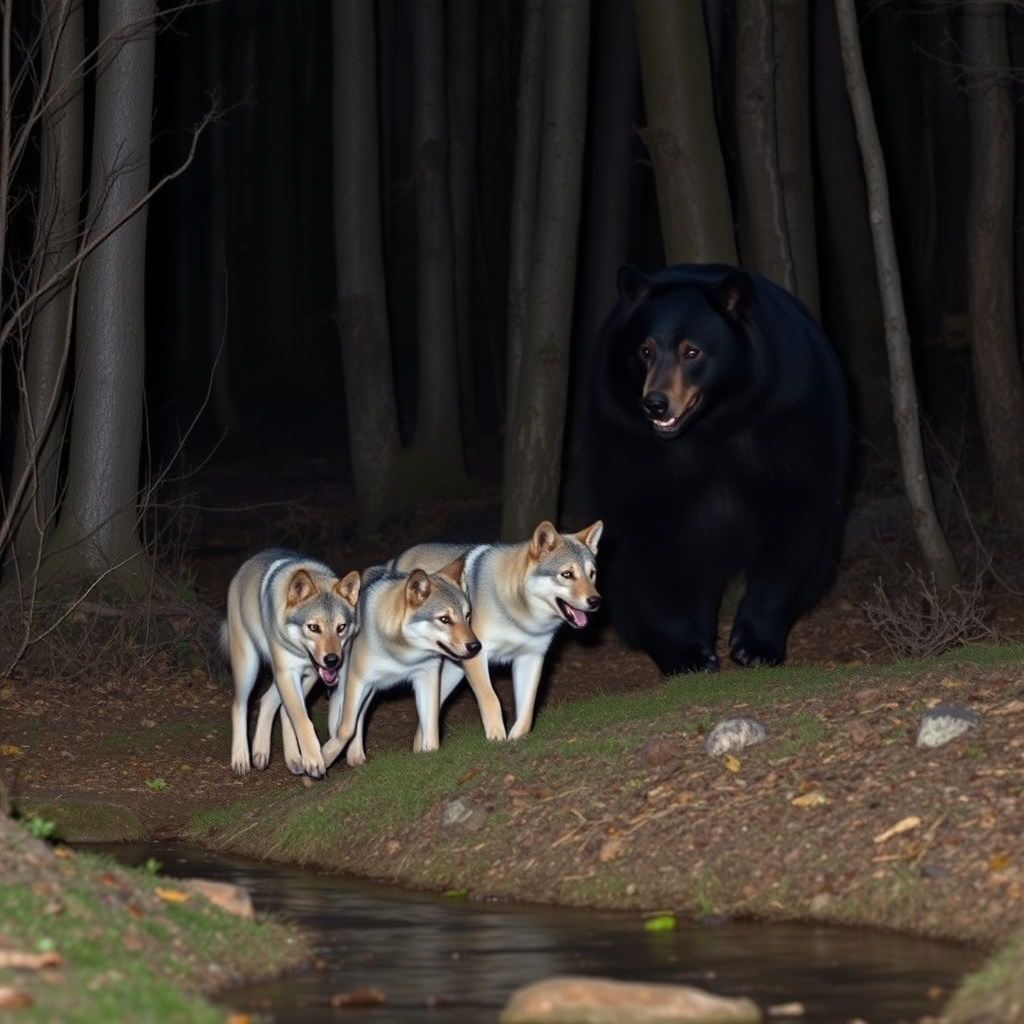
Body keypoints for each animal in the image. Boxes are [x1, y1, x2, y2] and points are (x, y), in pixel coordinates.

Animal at [223, 552, 360, 774]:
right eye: (313, 627)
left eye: (341, 627)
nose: (332, 660)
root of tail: (248, 563)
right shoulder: (287, 673)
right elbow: (301, 719)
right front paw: (313, 759)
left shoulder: (310, 673)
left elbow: (292, 714)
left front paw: (301, 756)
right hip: (249, 667)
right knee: (239, 705)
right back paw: (241, 757)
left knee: (267, 700)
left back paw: (264, 751)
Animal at [319, 561, 479, 770]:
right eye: (445, 619)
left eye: (467, 616)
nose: (476, 646)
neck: (403, 655)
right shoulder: (358, 680)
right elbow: (345, 728)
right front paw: (323, 757)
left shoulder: (427, 678)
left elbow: (431, 728)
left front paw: (430, 754)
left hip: (370, 692)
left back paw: (356, 757)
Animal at [389, 520, 598, 745]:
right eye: (567, 574)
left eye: (592, 574)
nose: (596, 600)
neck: (520, 615)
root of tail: (397, 559)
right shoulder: (477, 656)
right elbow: (492, 700)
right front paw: (497, 739)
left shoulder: (531, 657)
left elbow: (527, 711)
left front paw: (516, 739)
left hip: (453, 673)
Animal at [585, 264, 847, 675]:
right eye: (645, 350)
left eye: (692, 351)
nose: (655, 404)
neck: (713, 424)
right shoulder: (630, 443)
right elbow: (640, 542)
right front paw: (688, 652)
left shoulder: (788, 420)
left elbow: (796, 523)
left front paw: (754, 643)